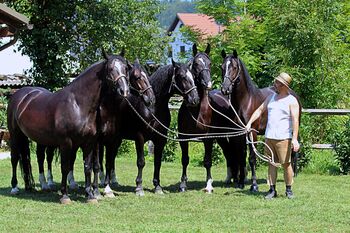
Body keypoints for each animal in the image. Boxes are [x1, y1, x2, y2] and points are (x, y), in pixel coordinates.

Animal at [6, 52, 130, 203]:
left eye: (125, 68)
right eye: (111, 69)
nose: (124, 90)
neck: (78, 104)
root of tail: (19, 95)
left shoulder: (89, 143)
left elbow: (88, 167)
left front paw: (90, 195)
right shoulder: (66, 143)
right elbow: (65, 167)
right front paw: (65, 196)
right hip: (14, 135)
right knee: (14, 159)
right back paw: (14, 188)